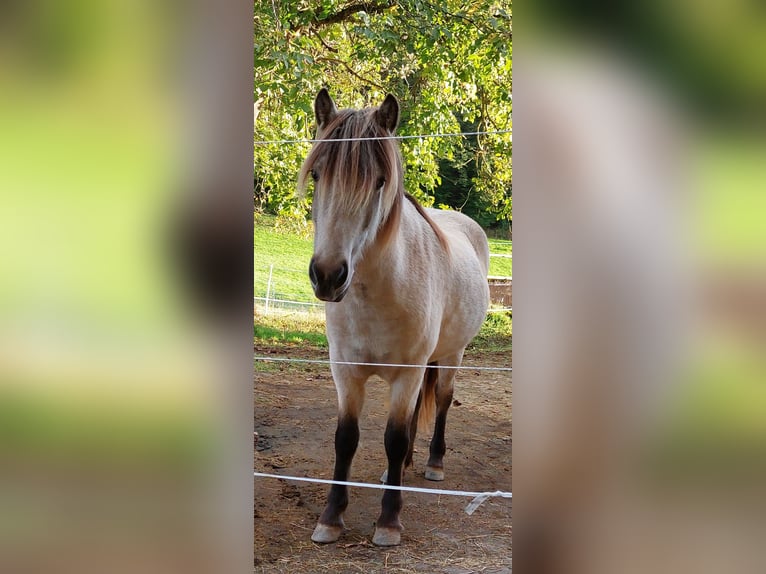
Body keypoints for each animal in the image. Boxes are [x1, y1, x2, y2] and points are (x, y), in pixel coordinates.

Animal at [298, 88, 490, 547]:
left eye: (380, 181)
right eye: (317, 176)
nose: (328, 275)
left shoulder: (407, 372)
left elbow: (395, 436)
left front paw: (388, 521)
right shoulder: (345, 370)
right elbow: (346, 439)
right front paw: (331, 518)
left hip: (450, 356)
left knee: (442, 402)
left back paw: (433, 465)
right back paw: (396, 471)